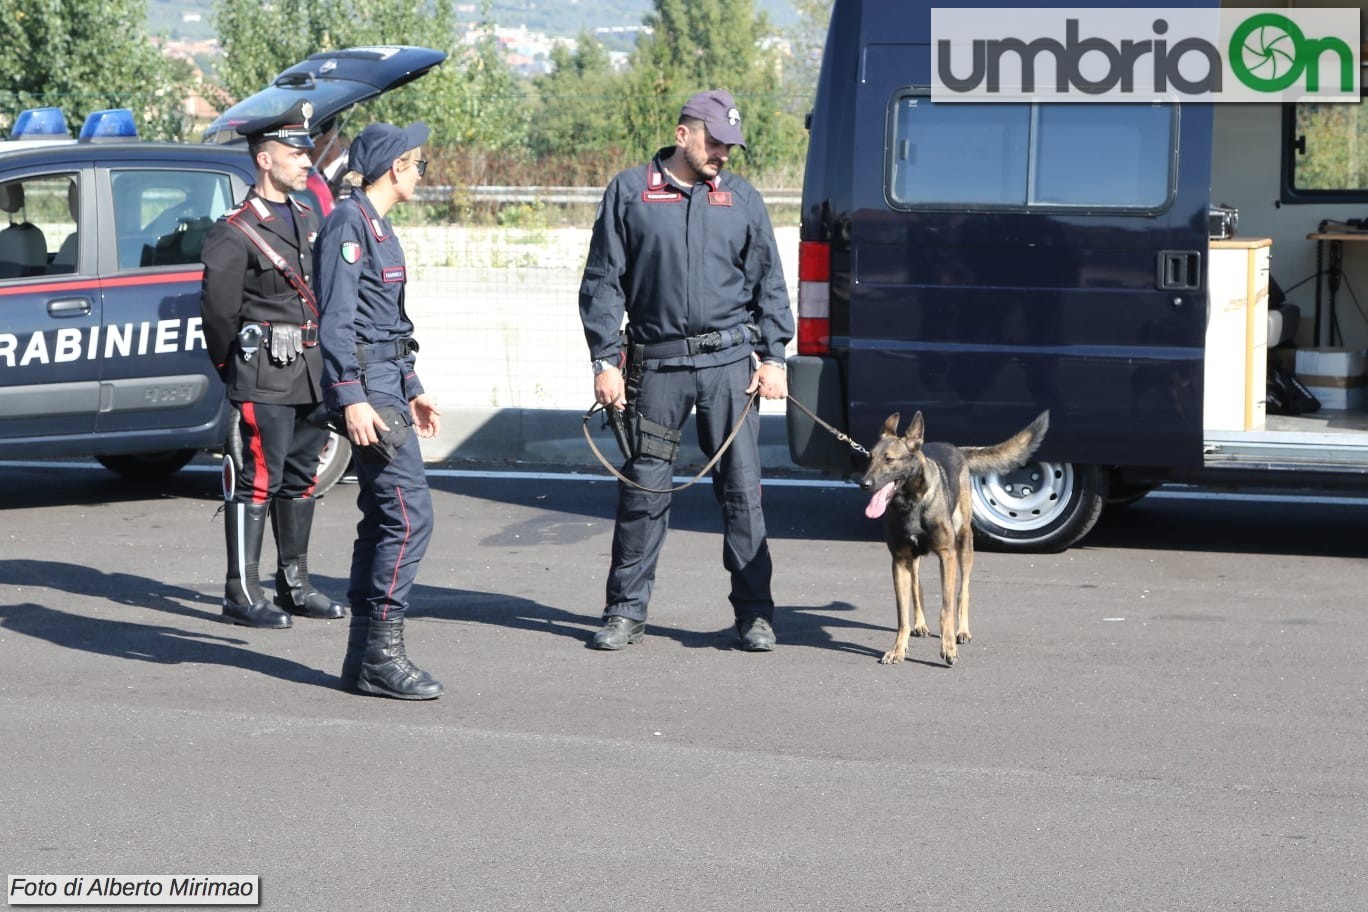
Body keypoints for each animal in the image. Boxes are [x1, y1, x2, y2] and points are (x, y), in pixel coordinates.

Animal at [864, 412, 1045, 664]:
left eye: (889, 459)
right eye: (869, 458)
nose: (863, 484)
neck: (911, 503)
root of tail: (956, 448)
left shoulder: (946, 556)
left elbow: (947, 607)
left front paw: (948, 646)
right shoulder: (899, 561)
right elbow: (902, 614)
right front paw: (899, 649)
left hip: (965, 546)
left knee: (963, 592)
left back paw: (962, 631)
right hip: (914, 561)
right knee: (916, 588)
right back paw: (920, 624)